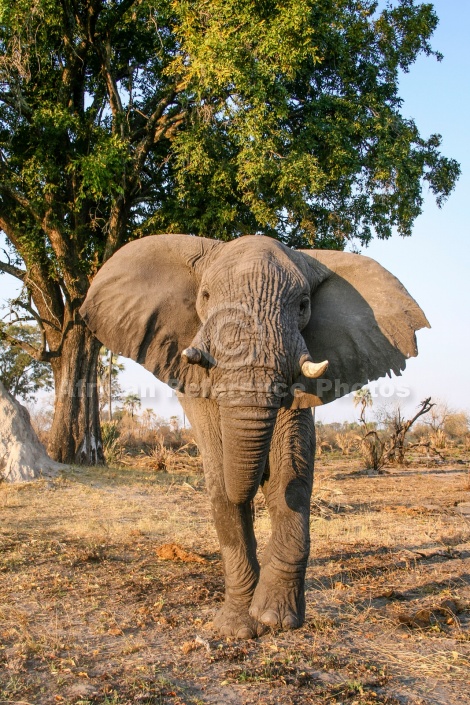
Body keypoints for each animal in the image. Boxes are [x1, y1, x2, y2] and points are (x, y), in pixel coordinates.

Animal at [81, 235, 430, 640]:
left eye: (303, 305)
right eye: (205, 296)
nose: (256, 476)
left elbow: (289, 476)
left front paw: (274, 620)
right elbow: (221, 479)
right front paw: (237, 628)